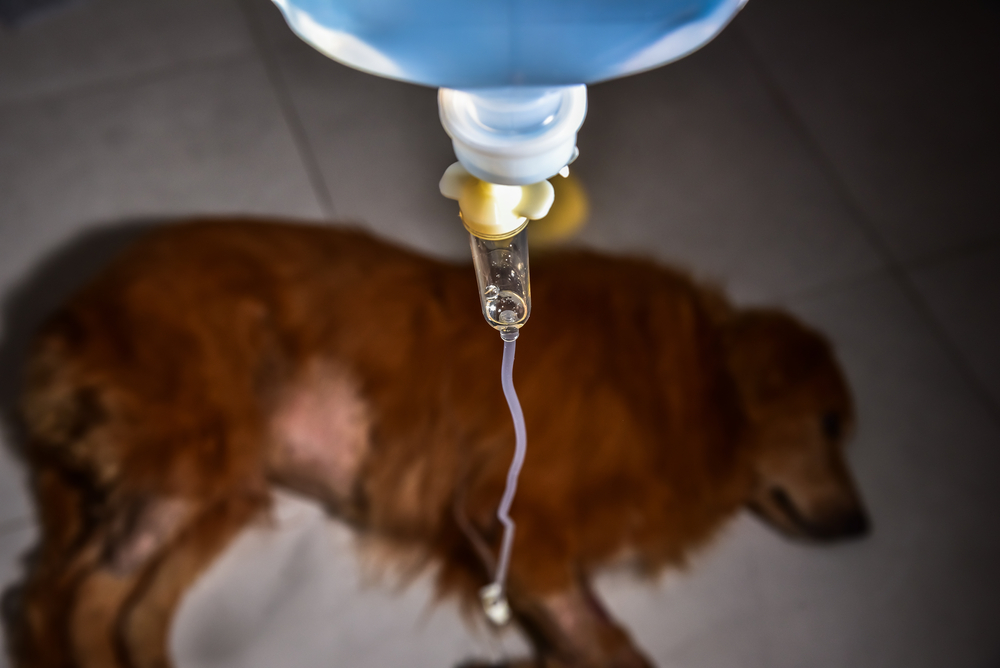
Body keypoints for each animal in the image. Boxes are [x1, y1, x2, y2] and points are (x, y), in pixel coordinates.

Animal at [5, 220, 868, 668]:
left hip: (216, 492)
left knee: (122, 613)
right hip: (191, 459)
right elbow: (614, 648)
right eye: (829, 425)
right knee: (73, 601)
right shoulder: (508, 518)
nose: (864, 527)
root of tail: (64, 313)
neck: (689, 382)